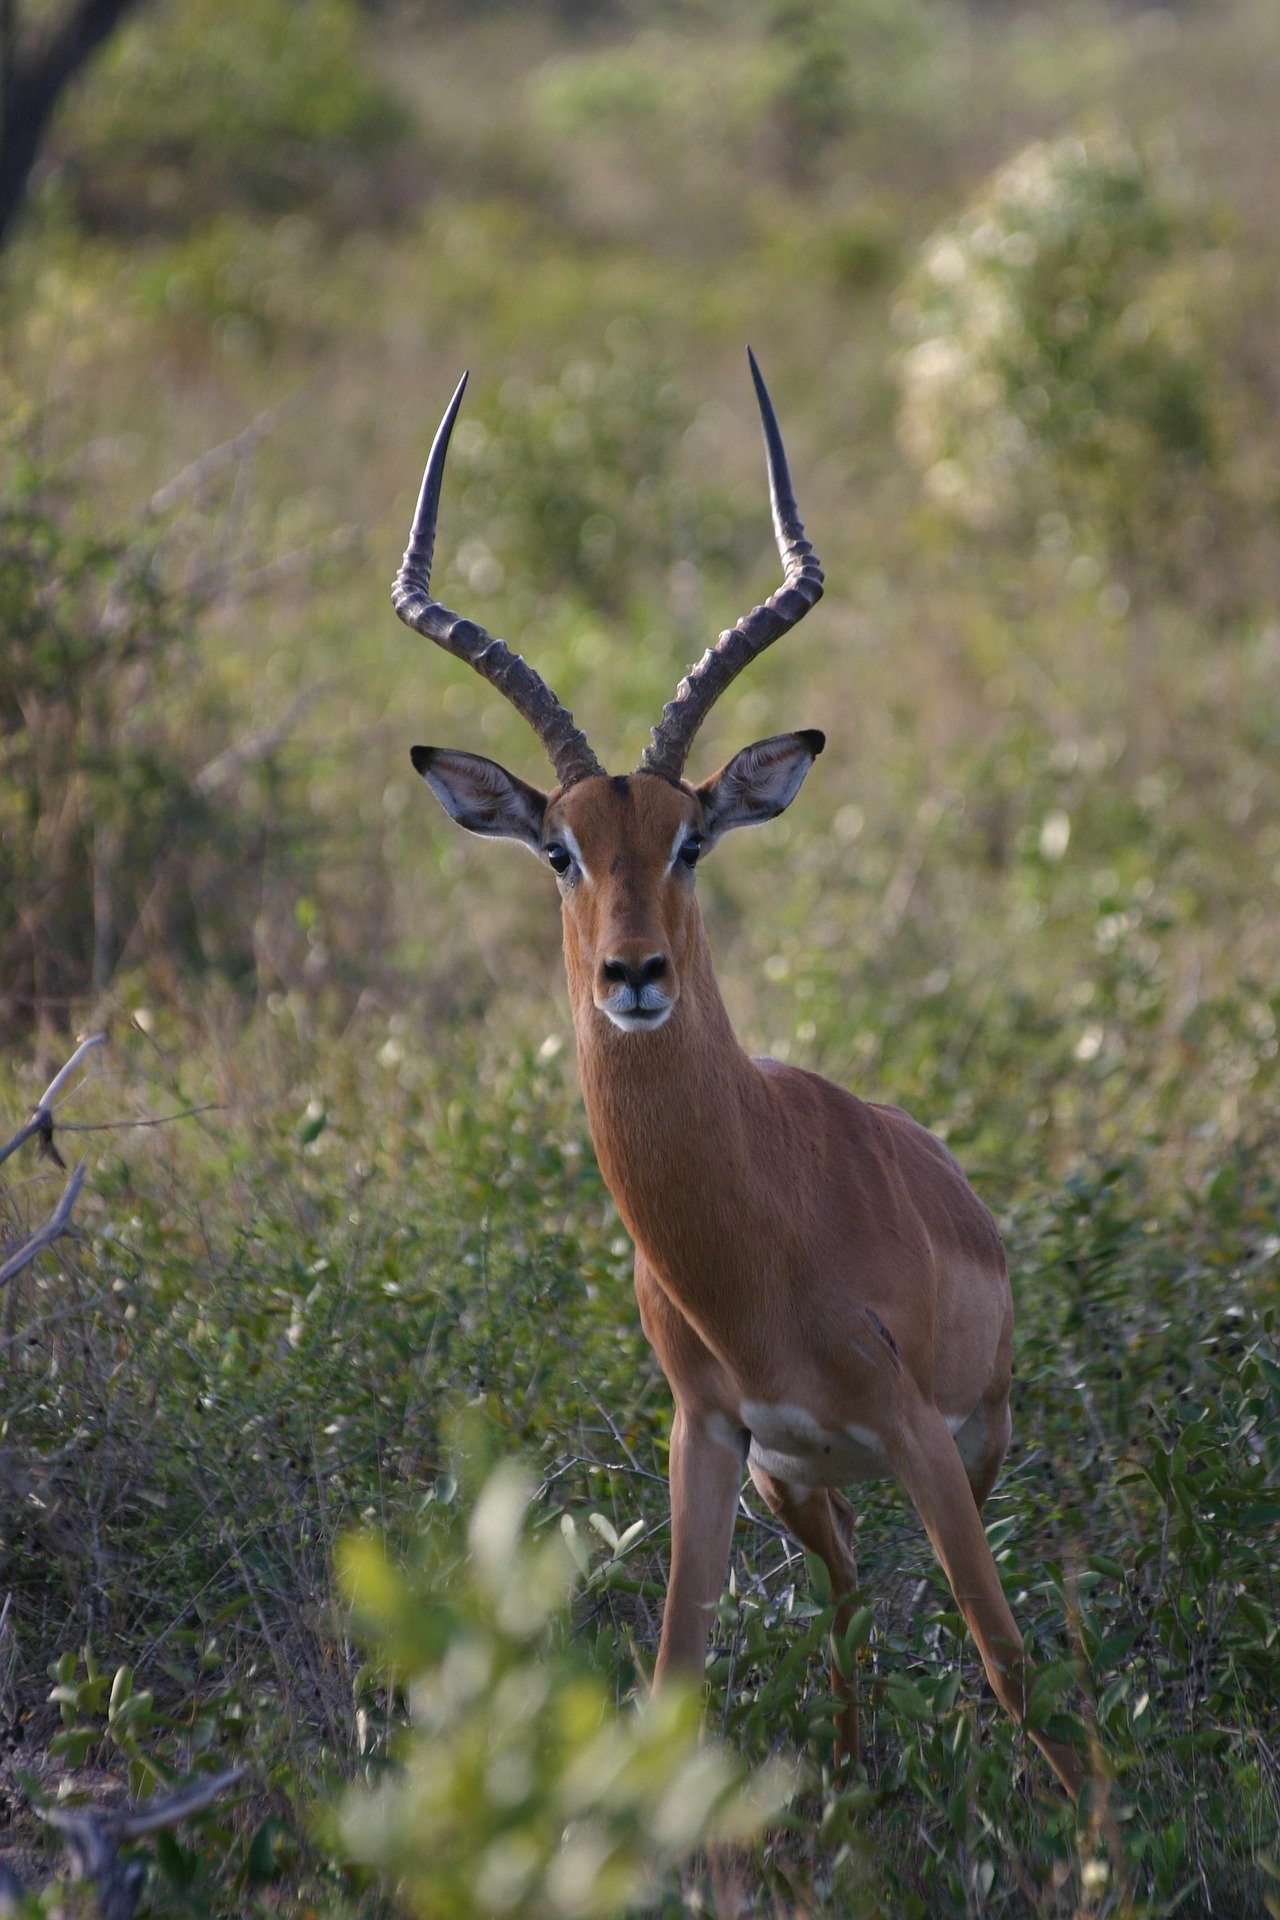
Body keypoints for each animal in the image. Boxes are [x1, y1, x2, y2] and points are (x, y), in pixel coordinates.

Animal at [392, 354, 1084, 1798]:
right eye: (560, 849)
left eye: (692, 839)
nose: (634, 975)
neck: (756, 1228)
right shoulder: (709, 1439)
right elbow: (670, 1675)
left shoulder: (917, 1436)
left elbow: (1006, 1658)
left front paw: (1091, 1828)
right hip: (797, 1484)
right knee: (847, 1590)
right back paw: (853, 1765)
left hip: (973, 1443)